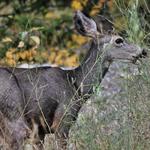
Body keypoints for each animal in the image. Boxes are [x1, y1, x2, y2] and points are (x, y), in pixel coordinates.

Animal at [0, 10, 146, 149]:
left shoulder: (39, 131)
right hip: (14, 116)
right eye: (119, 40)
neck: (76, 84)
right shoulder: (64, 119)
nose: (142, 51)